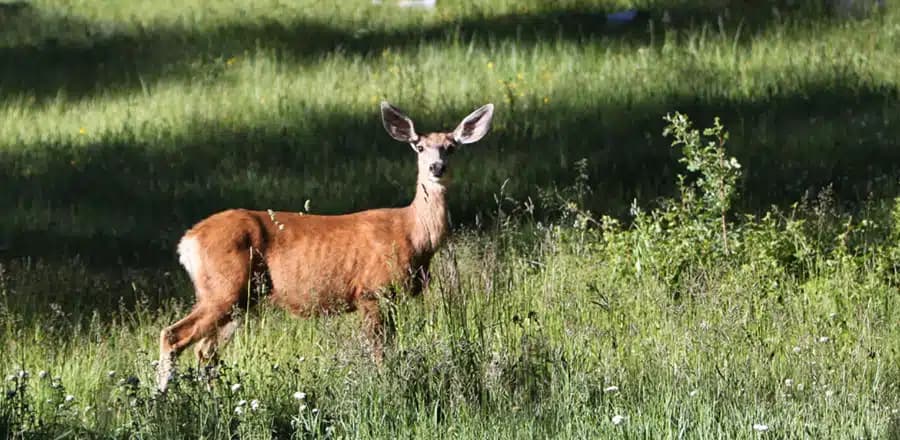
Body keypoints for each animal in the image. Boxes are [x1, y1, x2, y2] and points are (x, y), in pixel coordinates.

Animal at [156, 102, 495, 391]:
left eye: (451, 147)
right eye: (420, 147)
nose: (436, 167)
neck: (412, 232)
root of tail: (188, 241)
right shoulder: (371, 291)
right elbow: (379, 351)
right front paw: (387, 385)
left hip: (239, 299)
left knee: (206, 352)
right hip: (223, 287)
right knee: (173, 336)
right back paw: (161, 400)